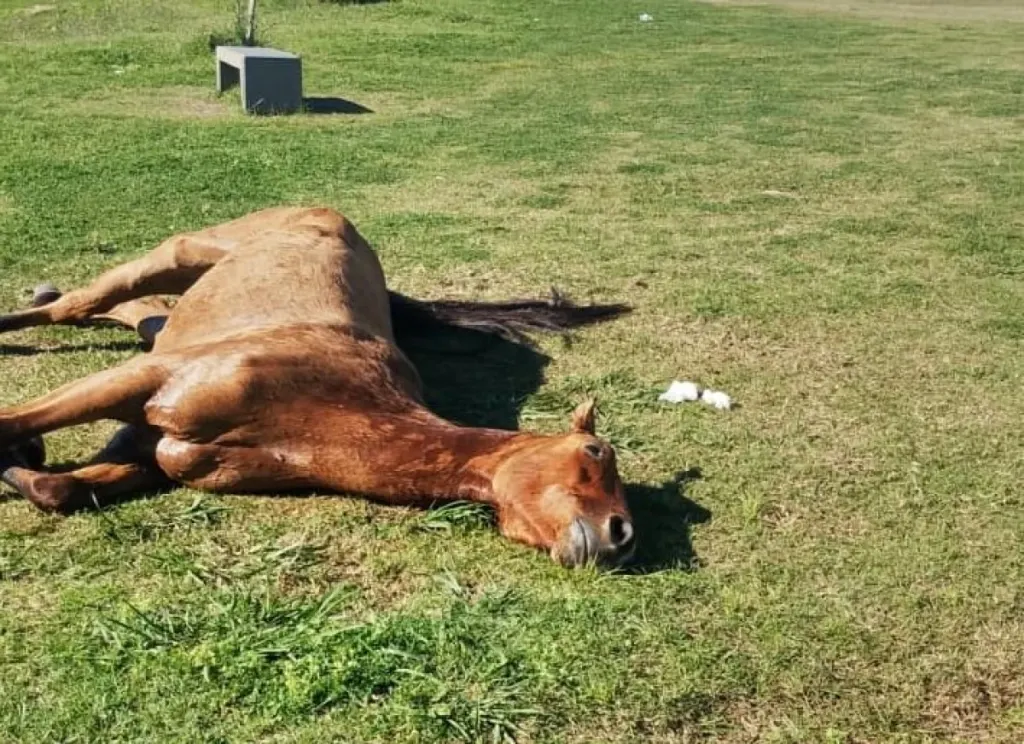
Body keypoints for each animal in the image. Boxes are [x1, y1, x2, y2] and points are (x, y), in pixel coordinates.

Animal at [0, 206, 635, 567]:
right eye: (594, 452)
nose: (622, 535)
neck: (315, 413)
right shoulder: (143, 381)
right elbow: (14, 421)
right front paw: (22, 447)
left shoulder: (154, 449)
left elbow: (59, 489)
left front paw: (23, 462)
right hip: (175, 256)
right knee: (79, 305)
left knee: (140, 316)